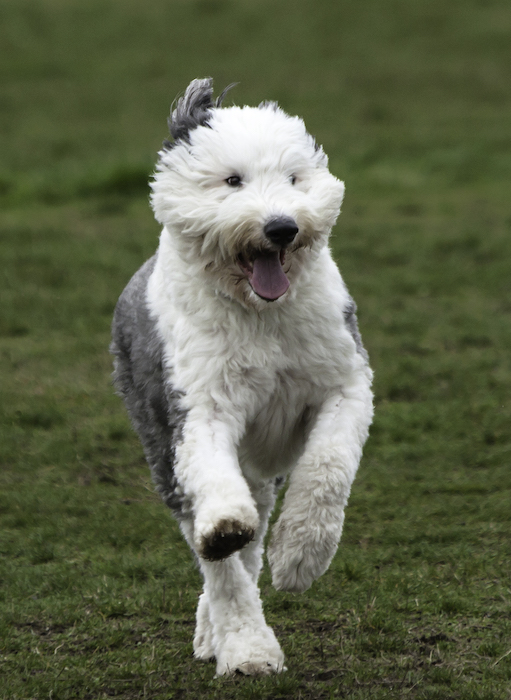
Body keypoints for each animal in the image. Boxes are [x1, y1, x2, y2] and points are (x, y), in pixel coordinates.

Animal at [110, 79, 374, 676]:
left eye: (294, 178)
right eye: (232, 180)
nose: (281, 227)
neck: (260, 317)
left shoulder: (345, 385)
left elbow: (327, 468)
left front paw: (300, 558)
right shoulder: (197, 407)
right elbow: (217, 503)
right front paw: (227, 531)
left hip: (258, 468)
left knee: (250, 549)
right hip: (162, 447)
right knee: (223, 560)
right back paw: (244, 647)